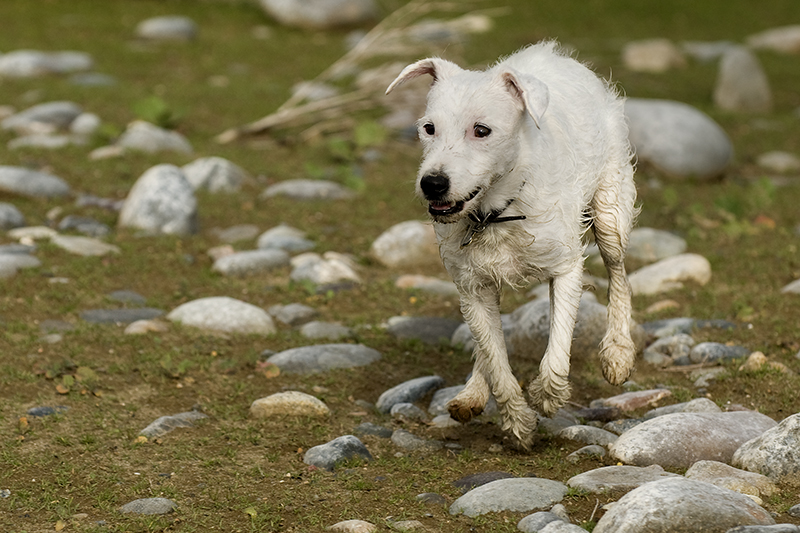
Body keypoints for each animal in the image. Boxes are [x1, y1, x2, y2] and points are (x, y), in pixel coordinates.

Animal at [388, 42, 636, 448]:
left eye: (482, 130)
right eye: (428, 128)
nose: (433, 183)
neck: (496, 212)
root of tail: (558, 55)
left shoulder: (565, 270)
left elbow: (557, 349)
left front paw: (547, 396)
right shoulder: (473, 288)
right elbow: (496, 360)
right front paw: (518, 422)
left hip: (609, 212)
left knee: (618, 273)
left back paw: (618, 351)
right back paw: (472, 392)